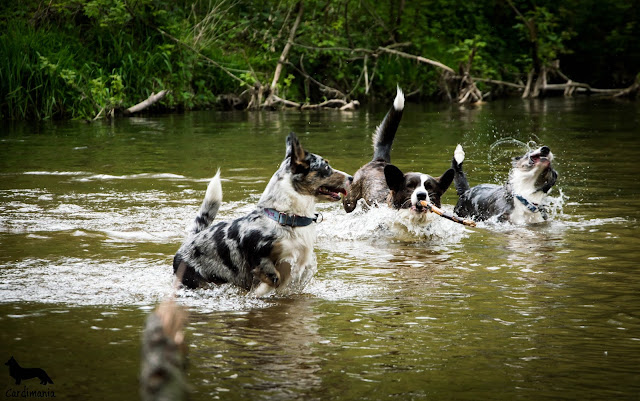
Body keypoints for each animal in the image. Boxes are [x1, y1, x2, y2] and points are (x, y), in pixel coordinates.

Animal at [172, 133, 352, 296]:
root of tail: (190, 240)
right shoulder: (260, 257)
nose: (351, 177)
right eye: (326, 167)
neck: (287, 217)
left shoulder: (305, 264)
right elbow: (274, 278)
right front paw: (261, 291)